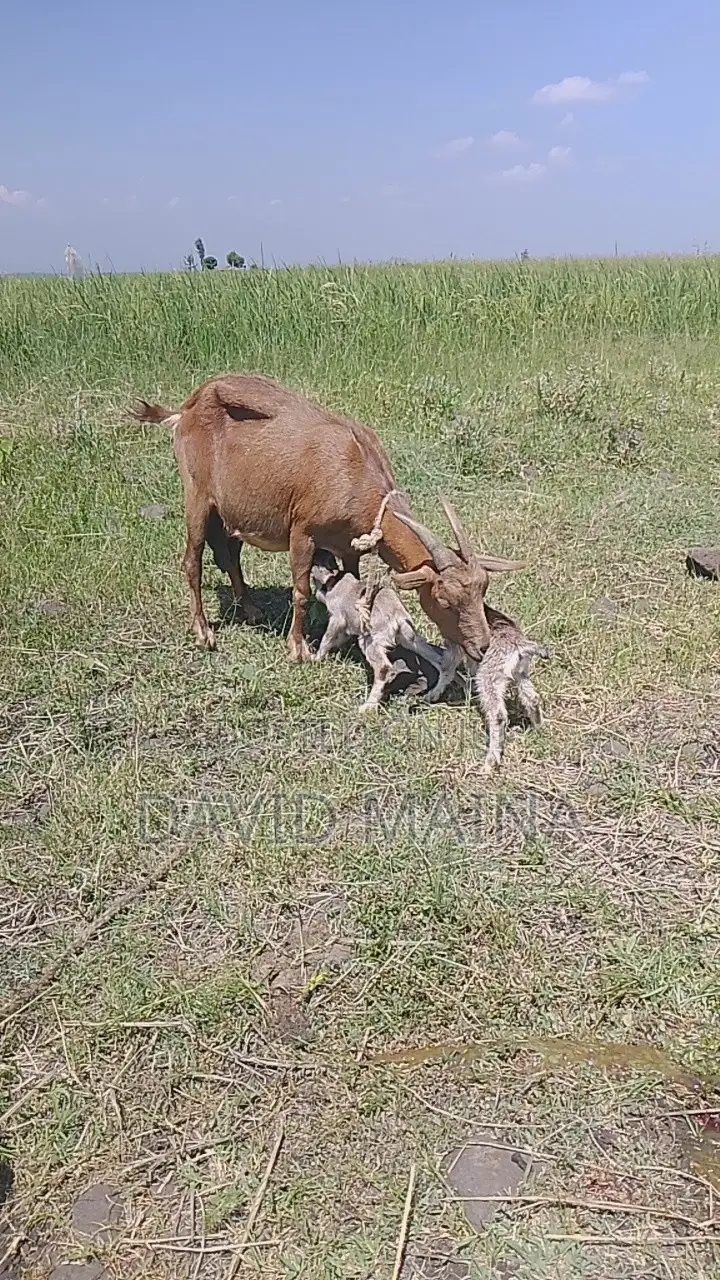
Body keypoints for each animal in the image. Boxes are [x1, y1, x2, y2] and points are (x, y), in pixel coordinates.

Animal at [131, 374, 524, 661]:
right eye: (443, 599)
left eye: (482, 592)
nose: (482, 647)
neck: (354, 469)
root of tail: (186, 408)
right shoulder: (302, 532)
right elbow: (302, 591)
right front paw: (297, 648)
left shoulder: (348, 544)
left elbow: (354, 583)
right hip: (197, 495)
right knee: (192, 561)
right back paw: (204, 632)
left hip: (235, 509)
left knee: (230, 554)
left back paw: (251, 608)